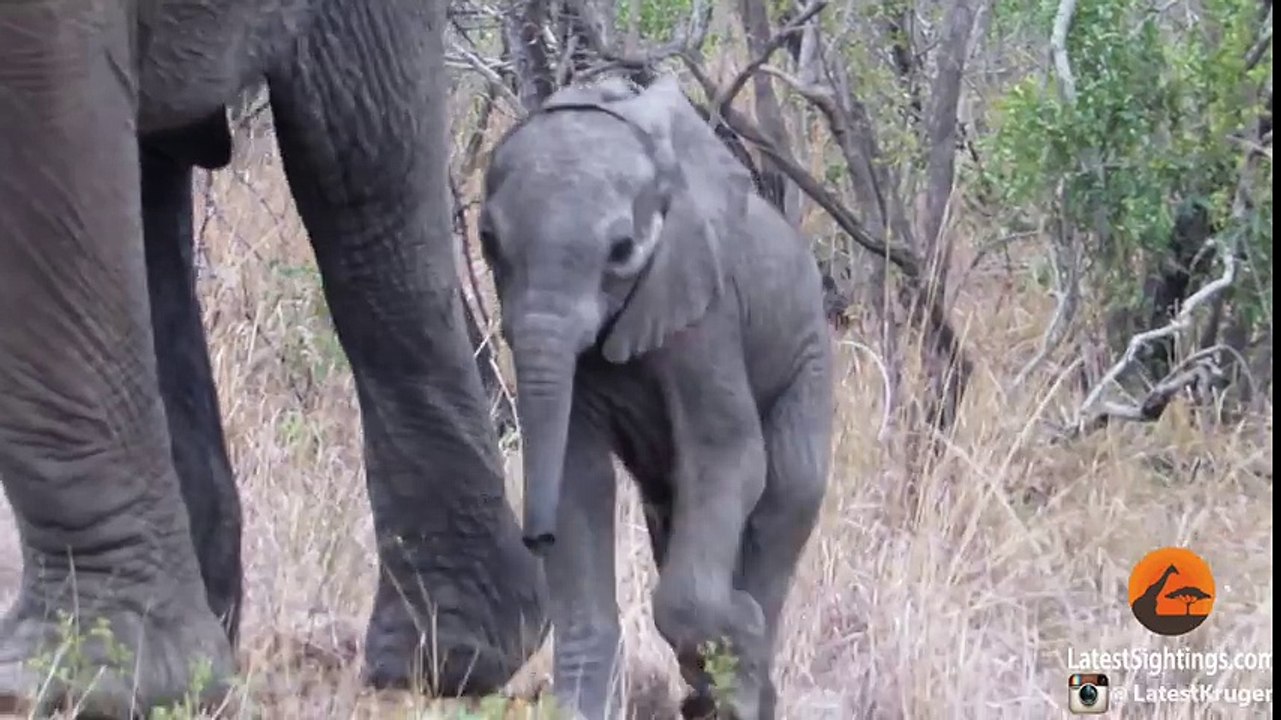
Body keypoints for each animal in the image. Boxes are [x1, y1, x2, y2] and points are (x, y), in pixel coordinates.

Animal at [479, 76, 834, 719]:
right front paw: (581, 707)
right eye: (488, 243)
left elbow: (727, 454)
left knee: (784, 497)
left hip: (810, 362)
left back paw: (747, 675)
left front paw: (738, 631)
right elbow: (581, 477)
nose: (536, 538)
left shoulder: (706, 312)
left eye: (622, 250)